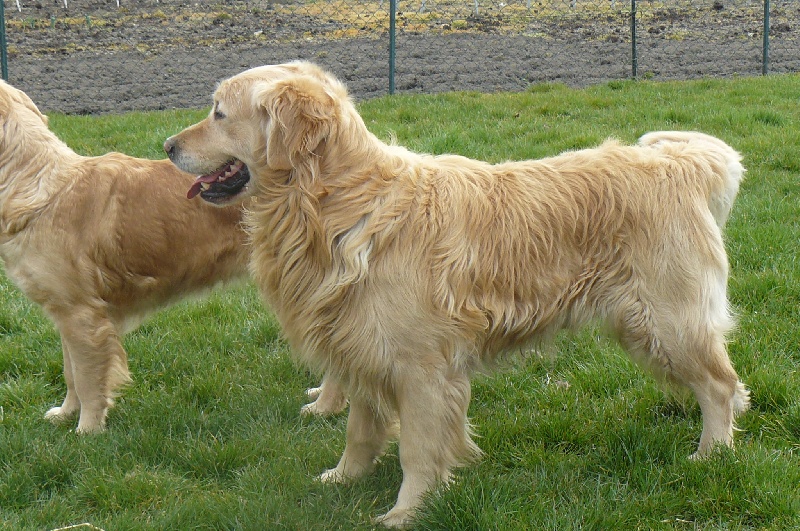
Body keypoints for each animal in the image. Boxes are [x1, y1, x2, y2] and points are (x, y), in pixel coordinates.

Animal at [0, 81, 250, 434]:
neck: (36, 185)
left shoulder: (84, 316)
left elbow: (88, 381)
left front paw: (87, 431)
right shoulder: (65, 312)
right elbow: (70, 373)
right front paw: (65, 414)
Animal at [164, 62, 752, 528]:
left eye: (218, 113)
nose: (167, 146)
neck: (338, 205)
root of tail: (678, 164)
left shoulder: (422, 368)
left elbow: (418, 451)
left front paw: (406, 512)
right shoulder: (361, 349)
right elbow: (359, 430)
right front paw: (343, 478)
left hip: (667, 321)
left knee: (722, 385)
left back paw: (712, 454)